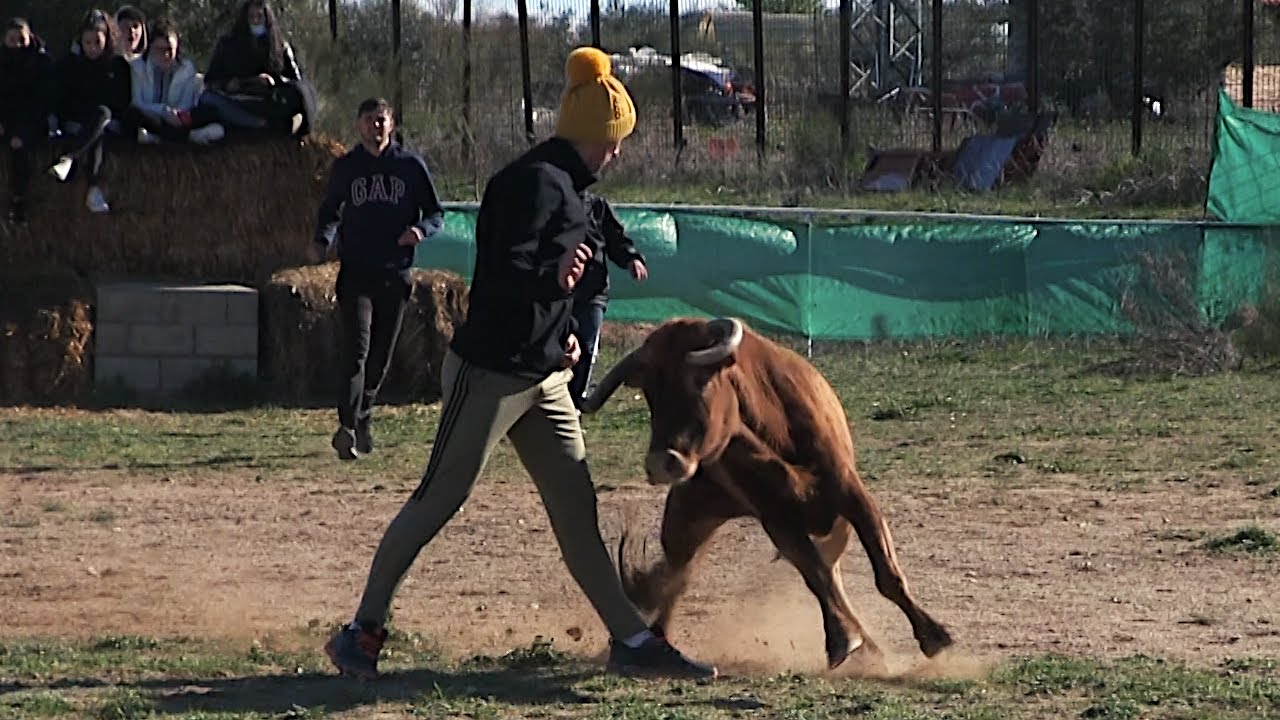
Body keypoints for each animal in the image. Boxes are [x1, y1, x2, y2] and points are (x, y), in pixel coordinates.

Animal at [580, 316, 954, 670]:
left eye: (698, 381)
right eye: (650, 393)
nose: (660, 462)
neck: (770, 443)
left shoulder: (853, 496)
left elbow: (885, 574)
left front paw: (932, 636)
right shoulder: (778, 520)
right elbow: (816, 575)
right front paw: (842, 639)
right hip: (687, 517)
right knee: (677, 577)